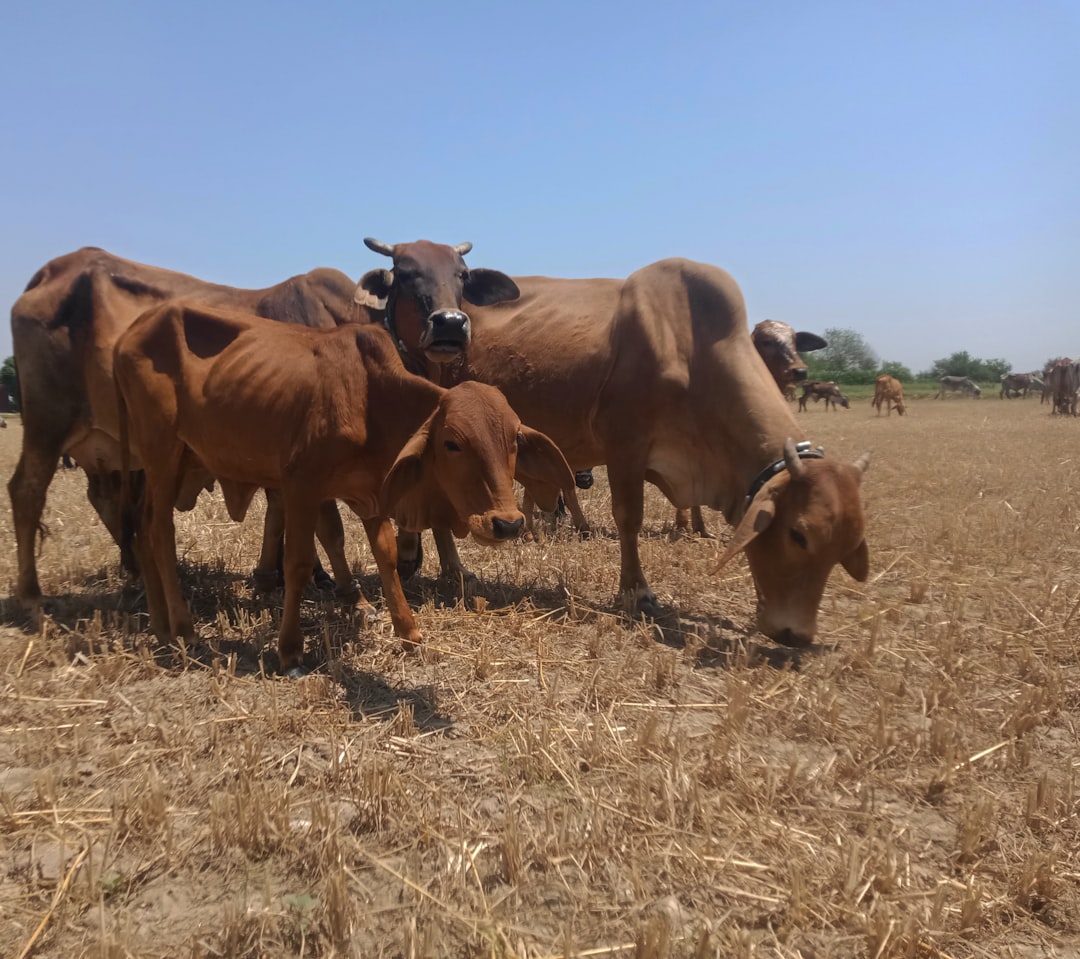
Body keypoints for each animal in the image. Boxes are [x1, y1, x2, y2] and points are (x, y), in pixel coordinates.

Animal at [115, 304, 573, 675]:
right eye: (452, 443)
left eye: (513, 441)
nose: (507, 524)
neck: (371, 398)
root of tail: (128, 333)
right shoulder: (301, 485)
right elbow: (298, 563)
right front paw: (290, 651)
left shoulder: (372, 490)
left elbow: (386, 556)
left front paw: (409, 632)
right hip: (161, 453)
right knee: (159, 530)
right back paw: (184, 628)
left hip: (174, 462)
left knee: (141, 525)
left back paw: (160, 624)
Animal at [362, 254, 870, 647]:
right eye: (798, 535)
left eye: (845, 547)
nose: (795, 635)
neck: (689, 344)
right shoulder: (626, 446)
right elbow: (630, 519)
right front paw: (637, 593)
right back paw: (449, 567)